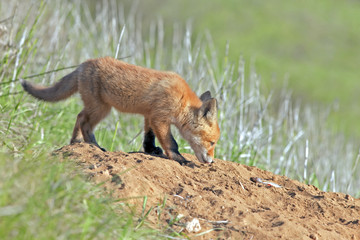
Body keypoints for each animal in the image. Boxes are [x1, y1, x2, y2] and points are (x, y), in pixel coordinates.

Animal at [21, 57, 222, 164]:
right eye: (212, 143)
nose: (211, 161)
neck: (181, 99)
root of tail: (84, 63)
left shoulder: (149, 115)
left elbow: (148, 137)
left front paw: (151, 150)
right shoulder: (160, 118)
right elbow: (171, 143)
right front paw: (180, 159)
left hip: (98, 108)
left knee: (79, 117)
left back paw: (76, 142)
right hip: (101, 109)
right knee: (83, 120)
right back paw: (93, 145)